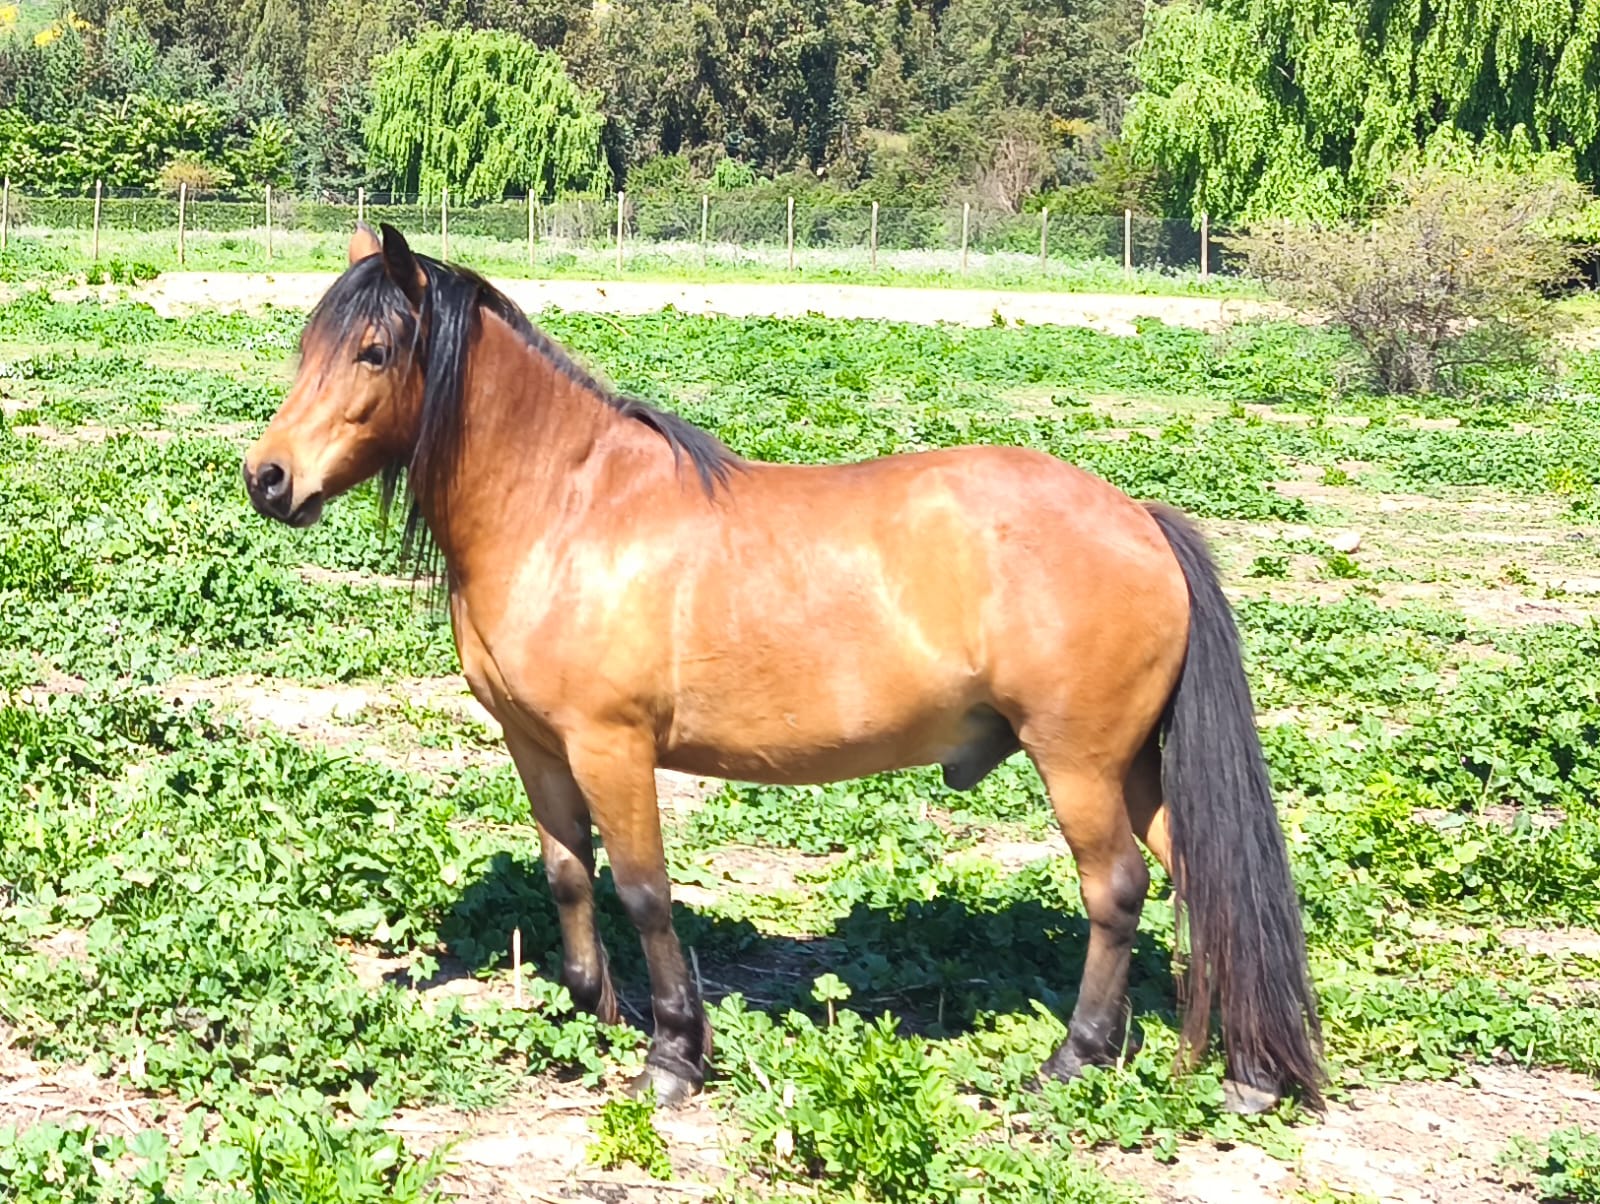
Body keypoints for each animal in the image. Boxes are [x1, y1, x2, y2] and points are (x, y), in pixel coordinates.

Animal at [243, 223, 1323, 1112]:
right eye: (307, 348)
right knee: (1203, 881)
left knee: (1117, 890)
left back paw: (1075, 1058)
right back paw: (1249, 1070)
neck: (568, 511)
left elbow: (642, 889)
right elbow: (568, 876)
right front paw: (596, 1015)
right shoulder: (536, 743)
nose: (268, 479)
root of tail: (1139, 517)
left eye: (374, 350)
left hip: (1082, 764)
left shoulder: (612, 747)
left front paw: (673, 1056)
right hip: (1136, 766)